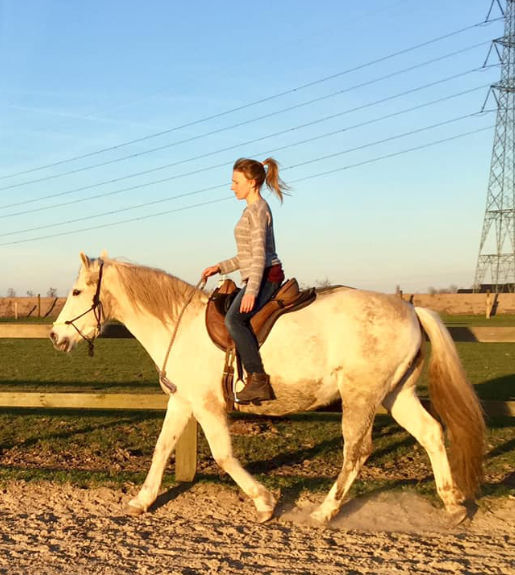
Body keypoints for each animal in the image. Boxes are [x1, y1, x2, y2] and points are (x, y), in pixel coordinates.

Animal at [50, 254, 486, 524]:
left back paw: (324, 512)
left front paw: (264, 502)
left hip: (360, 397)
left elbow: (223, 455)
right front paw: (142, 501)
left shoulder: (207, 406)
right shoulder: (183, 401)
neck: (180, 323)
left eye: (76, 292)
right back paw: (453, 506)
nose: (55, 336)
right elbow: (161, 449)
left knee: (356, 451)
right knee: (432, 433)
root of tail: (412, 308)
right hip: (398, 395)